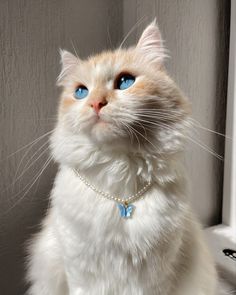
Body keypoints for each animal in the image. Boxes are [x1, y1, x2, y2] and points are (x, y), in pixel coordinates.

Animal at [26, 21, 218, 295]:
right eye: (81, 92)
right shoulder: (81, 272)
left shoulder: (153, 278)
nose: (96, 103)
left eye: (125, 81)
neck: (120, 182)